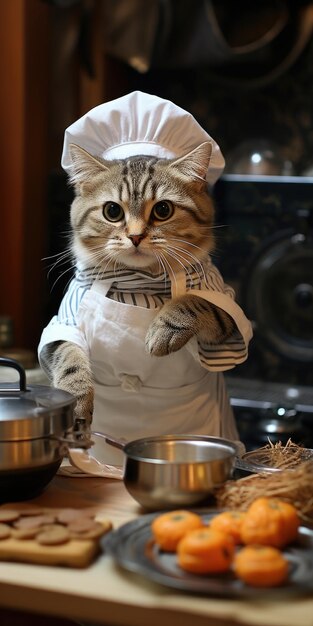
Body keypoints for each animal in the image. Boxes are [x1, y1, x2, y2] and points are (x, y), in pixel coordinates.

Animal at [39, 140, 239, 444]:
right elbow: (69, 358)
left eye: (163, 210)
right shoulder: (64, 322)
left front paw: (164, 328)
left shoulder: (227, 308)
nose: (135, 236)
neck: (139, 281)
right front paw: (75, 402)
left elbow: (195, 301)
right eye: (112, 211)